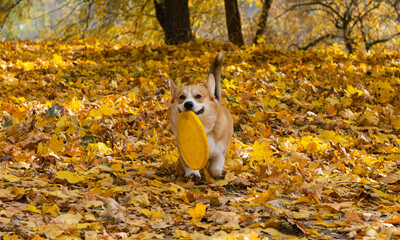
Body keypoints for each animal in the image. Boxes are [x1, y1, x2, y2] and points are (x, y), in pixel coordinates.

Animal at [168, 52, 231, 180]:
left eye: (198, 96)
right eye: (181, 97)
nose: (188, 104)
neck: (203, 126)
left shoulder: (220, 151)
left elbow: (215, 167)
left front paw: (215, 172)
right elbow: (189, 164)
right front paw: (193, 173)